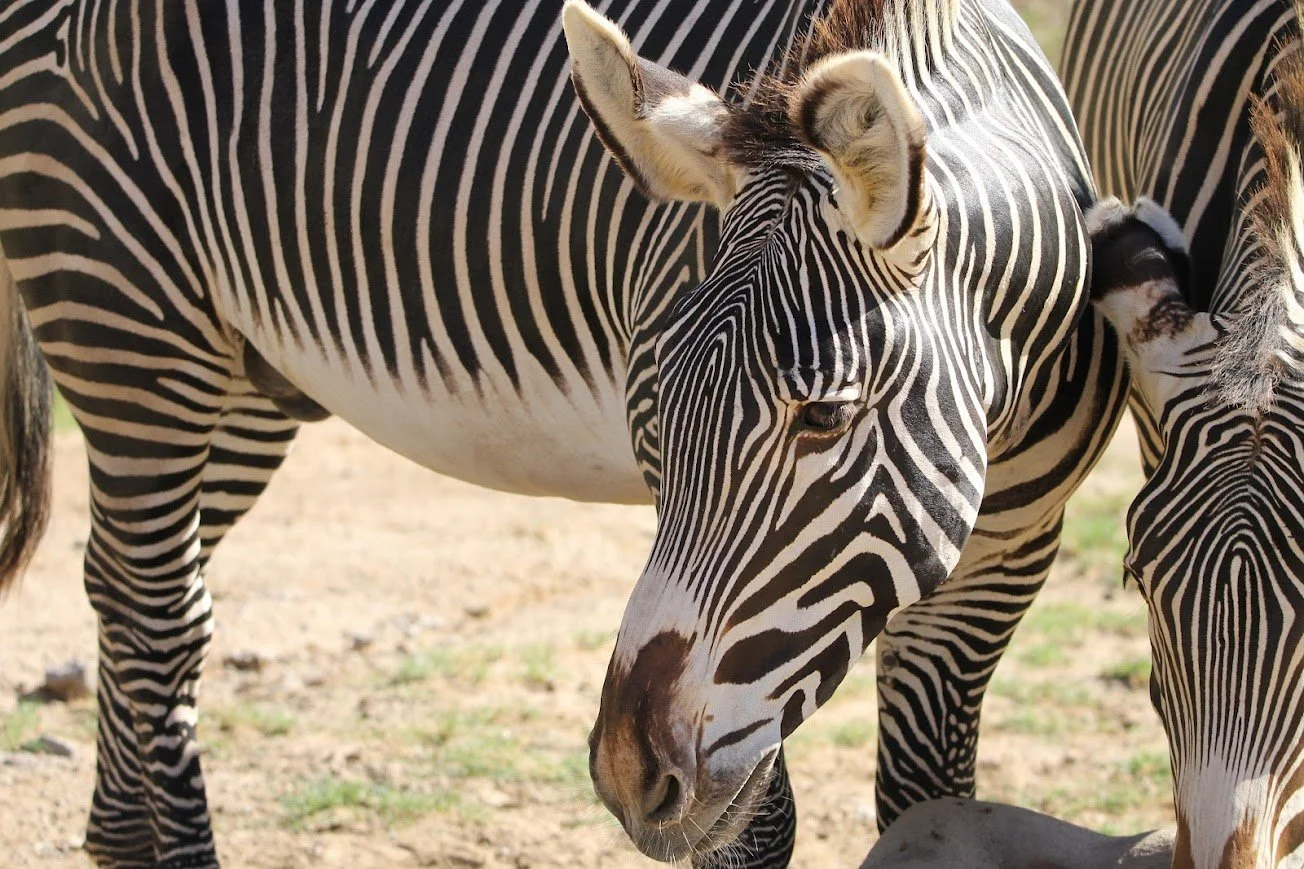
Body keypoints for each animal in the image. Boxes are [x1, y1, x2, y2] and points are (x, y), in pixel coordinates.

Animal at [565, 0, 1128, 859]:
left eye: (826, 415)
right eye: (657, 398)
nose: (628, 772)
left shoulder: (1011, 557)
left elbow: (931, 806)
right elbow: (758, 827)